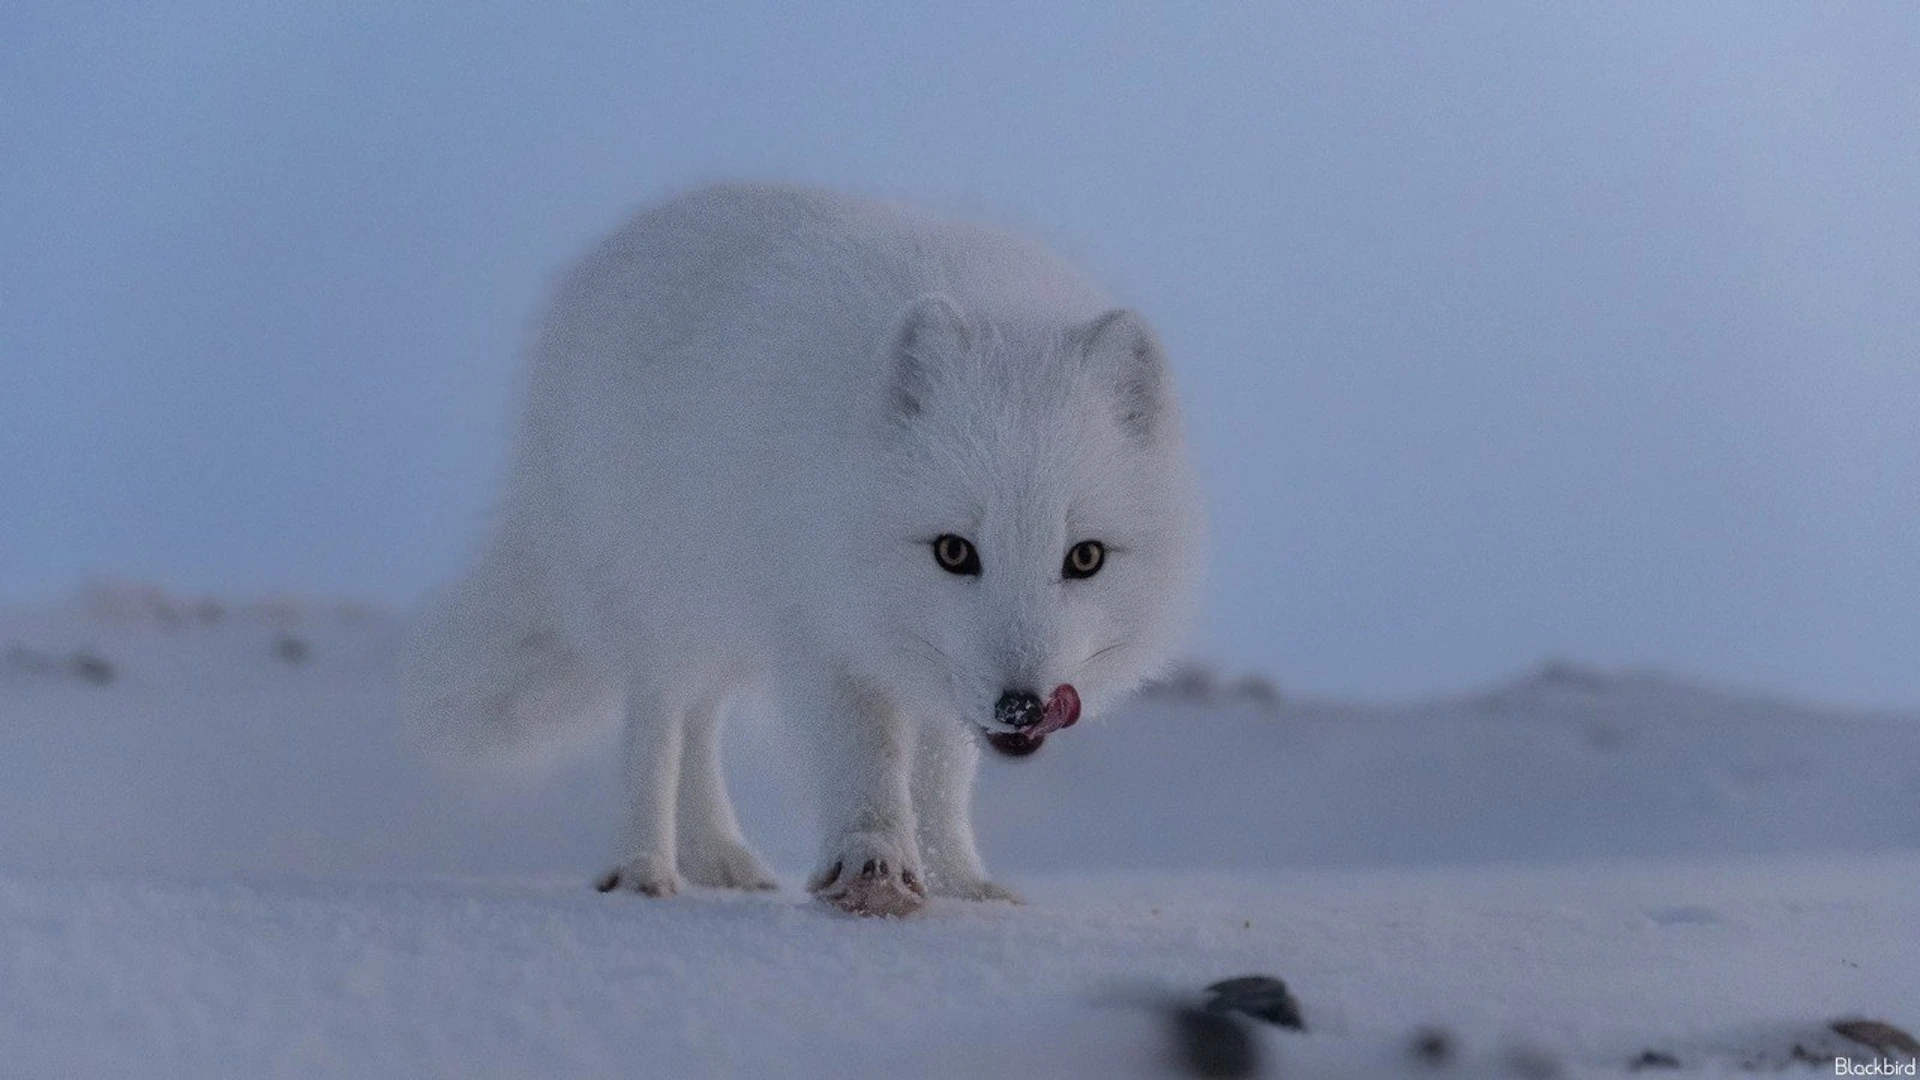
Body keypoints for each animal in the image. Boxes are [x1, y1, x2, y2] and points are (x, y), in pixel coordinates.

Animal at [405, 180, 1198, 910]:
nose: (1023, 710)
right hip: (654, 599)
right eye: (954, 552)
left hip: (726, 615)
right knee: (658, 725)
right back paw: (643, 868)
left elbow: (941, 777)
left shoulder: (932, 669)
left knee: (702, 720)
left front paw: (961, 884)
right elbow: (867, 757)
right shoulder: (822, 632)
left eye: (1084, 558)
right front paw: (874, 867)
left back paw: (718, 857)